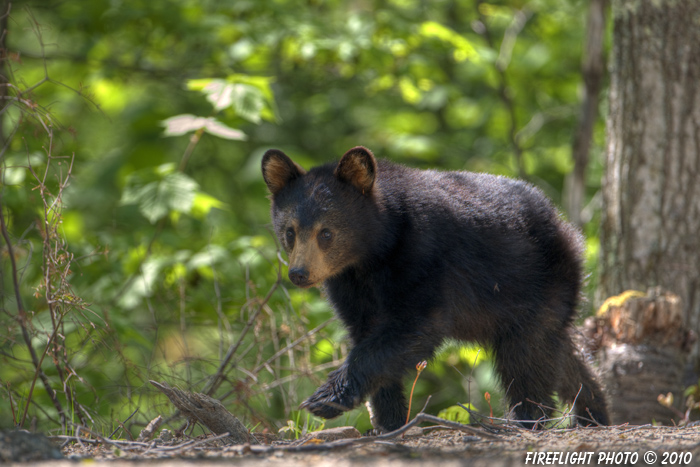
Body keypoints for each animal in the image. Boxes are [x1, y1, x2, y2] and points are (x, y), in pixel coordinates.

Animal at [260, 147, 608, 436]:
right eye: (290, 232)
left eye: (326, 233)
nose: (299, 274)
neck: (373, 254)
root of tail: (567, 229)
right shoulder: (349, 285)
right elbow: (367, 333)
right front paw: (388, 422)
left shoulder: (424, 256)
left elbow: (414, 327)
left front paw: (324, 399)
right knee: (560, 351)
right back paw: (593, 409)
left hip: (537, 283)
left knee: (527, 354)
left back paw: (527, 419)